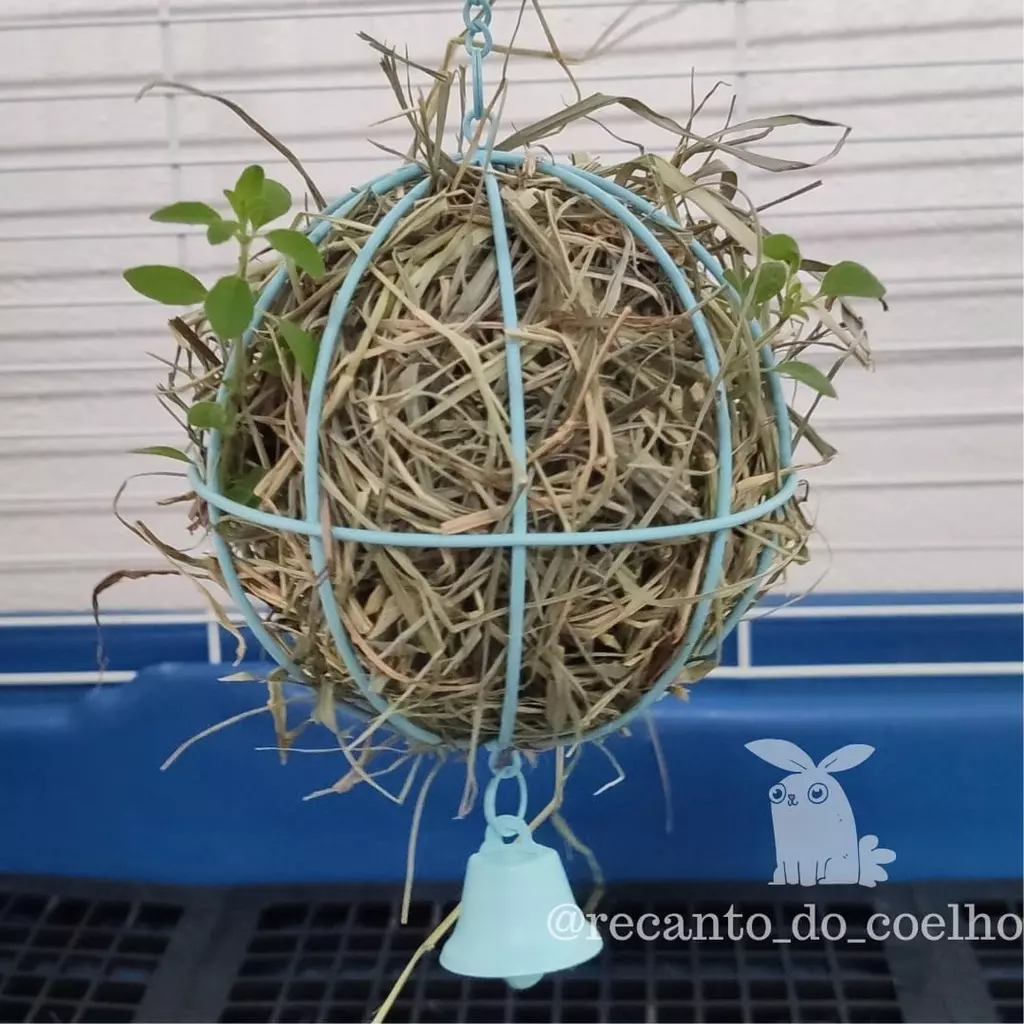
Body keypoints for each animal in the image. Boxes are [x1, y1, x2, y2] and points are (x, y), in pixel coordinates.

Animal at [745, 739, 896, 887]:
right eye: (777, 793)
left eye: (817, 792)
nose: (791, 797)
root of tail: (858, 872)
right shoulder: (785, 859)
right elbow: (783, 871)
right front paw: (781, 882)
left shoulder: (810, 858)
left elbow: (808, 869)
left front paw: (807, 883)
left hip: (833, 864)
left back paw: (825, 880)